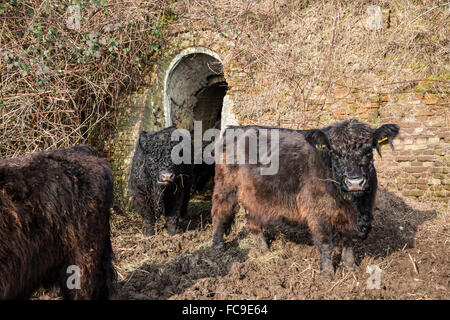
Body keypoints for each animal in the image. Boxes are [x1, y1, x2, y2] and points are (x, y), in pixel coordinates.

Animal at [213, 120, 400, 276]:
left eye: (368, 150)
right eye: (335, 153)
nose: (355, 182)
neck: (353, 204)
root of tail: (234, 128)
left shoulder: (349, 217)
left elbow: (348, 242)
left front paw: (350, 268)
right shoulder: (317, 212)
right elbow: (325, 243)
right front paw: (328, 273)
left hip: (254, 195)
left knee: (253, 220)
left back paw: (264, 250)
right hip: (225, 187)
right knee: (220, 214)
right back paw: (217, 246)